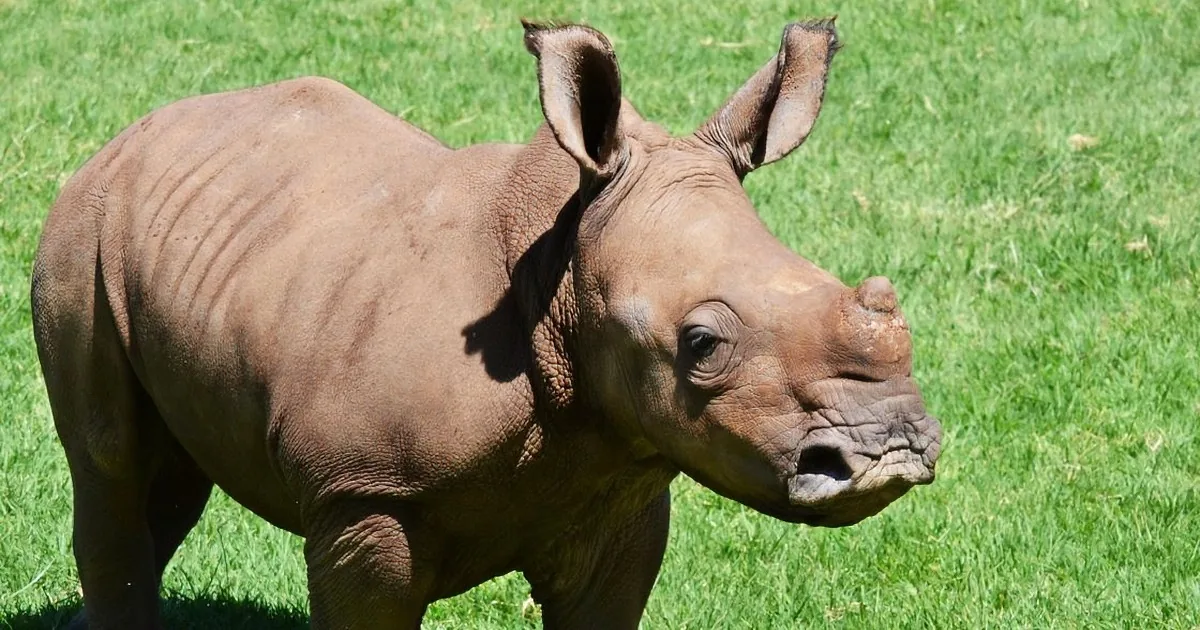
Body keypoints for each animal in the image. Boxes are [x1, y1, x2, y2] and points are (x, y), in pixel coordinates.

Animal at [31, 17, 942, 629]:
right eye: (702, 345)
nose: (891, 451)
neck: (564, 275)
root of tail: (133, 131)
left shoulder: (621, 491)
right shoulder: (365, 497)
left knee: (169, 473)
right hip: (82, 230)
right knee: (108, 461)